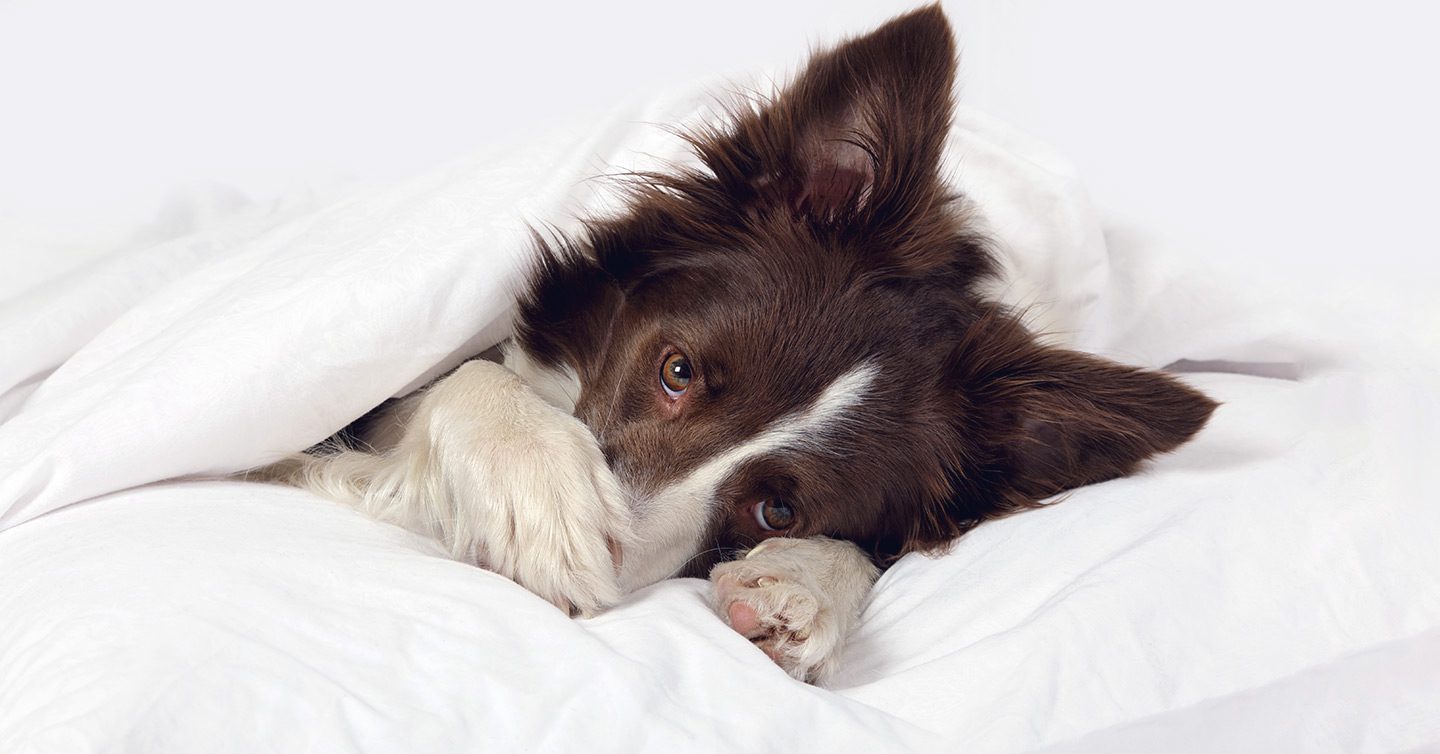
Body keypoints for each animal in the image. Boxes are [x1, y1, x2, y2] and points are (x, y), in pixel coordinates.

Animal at [262, 5, 1215, 684]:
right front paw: (541, 495)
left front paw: (802, 586)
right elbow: (462, 378)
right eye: (677, 370)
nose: (608, 551)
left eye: (778, 512)